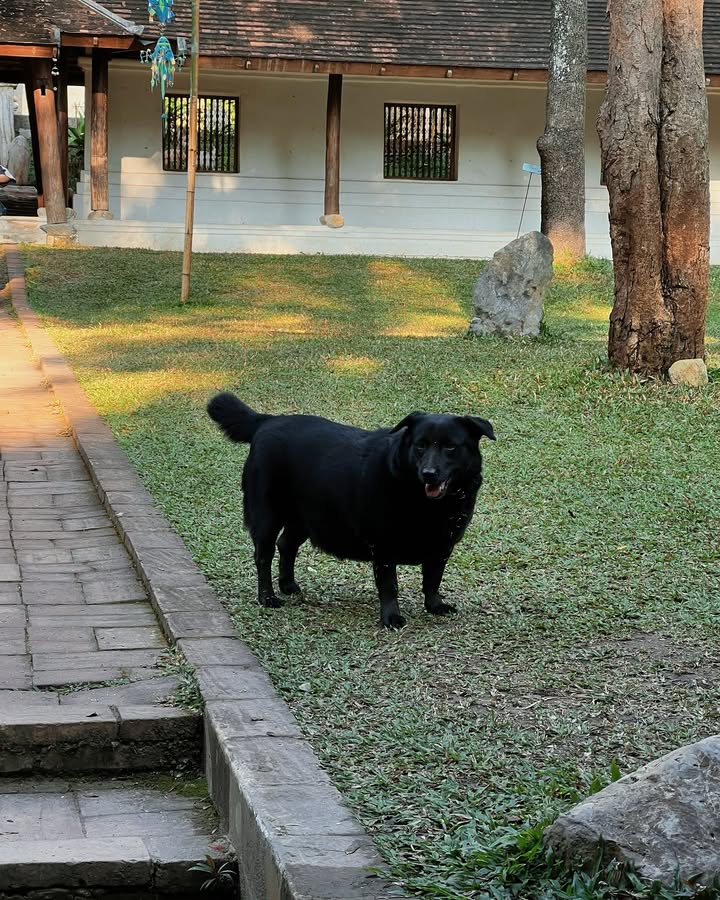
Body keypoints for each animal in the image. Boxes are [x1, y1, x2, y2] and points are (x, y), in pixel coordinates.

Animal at [205, 394, 492, 624]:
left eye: (450, 446)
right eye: (420, 445)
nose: (429, 473)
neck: (425, 502)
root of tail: (267, 422)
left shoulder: (443, 546)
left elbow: (433, 580)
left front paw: (434, 606)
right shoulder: (384, 546)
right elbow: (389, 585)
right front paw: (391, 617)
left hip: (307, 516)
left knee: (286, 545)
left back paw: (288, 585)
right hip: (267, 516)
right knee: (263, 555)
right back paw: (267, 596)